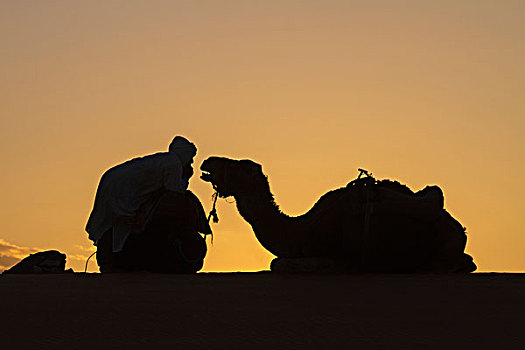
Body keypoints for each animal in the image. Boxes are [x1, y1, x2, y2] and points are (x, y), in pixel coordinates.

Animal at [200, 157, 474, 274]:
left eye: (237, 166)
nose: (208, 161)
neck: (300, 230)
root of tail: (459, 228)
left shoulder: (336, 254)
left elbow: (277, 263)